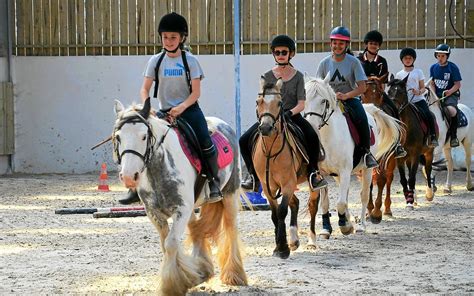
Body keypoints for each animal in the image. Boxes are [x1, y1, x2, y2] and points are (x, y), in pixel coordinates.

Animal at [254, 78, 320, 260]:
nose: (265, 128)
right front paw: (279, 245)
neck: (271, 152)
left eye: (279, 103)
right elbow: (275, 213)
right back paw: (294, 240)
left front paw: (282, 248)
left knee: (313, 205)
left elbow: (282, 211)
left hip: (314, 180)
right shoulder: (269, 187)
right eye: (258, 101)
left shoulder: (288, 183)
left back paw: (311, 241)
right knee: (295, 203)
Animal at [304, 74, 400, 238]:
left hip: (367, 169)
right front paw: (326, 228)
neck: (328, 138)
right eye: (305, 99)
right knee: (347, 195)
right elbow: (326, 203)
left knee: (364, 195)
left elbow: (341, 203)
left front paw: (345, 226)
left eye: (323, 101)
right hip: (338, 175)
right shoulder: (322, 174)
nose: (310, 125)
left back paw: (361, 225)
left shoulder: (345, 171)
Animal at [362, 77, 406, 221]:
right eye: (363, 93)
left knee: (389, 178)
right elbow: (370, 182)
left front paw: (376, 212)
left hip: (391, 158)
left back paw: (387, 209)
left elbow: (381, 180)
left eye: (381, 93)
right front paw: (369, 209)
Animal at [386, 74, 436, 208]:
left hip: (429, 152)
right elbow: (404, 179)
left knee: (428, 170)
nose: (393, 109)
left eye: (402, 92)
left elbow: (412, 178)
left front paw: (410, 200)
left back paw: (429, 194)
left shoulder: (415, 154)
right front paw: (408, 198)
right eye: (389, 92)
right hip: (407, 157)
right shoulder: (400, 157)